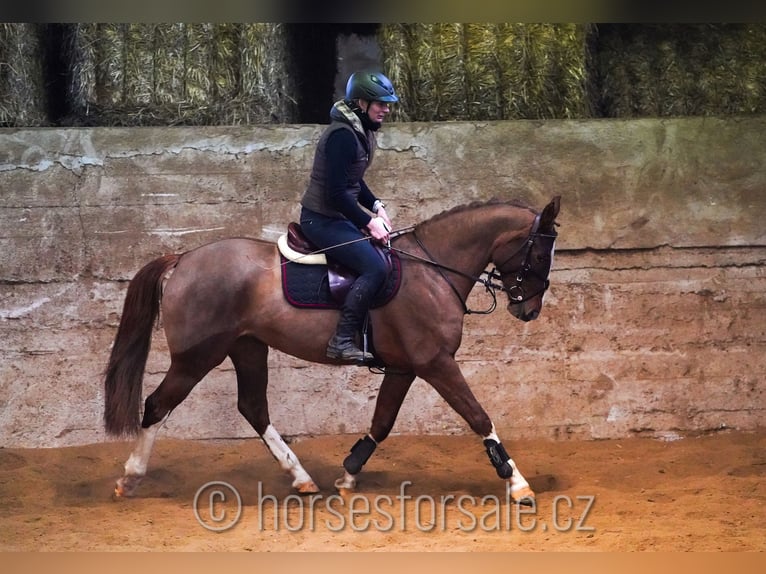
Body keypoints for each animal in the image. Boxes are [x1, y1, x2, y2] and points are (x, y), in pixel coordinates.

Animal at [103, 196, 560, 506]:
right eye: (539, 253)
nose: (529, 310)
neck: (432, 270)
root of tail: (182, 258)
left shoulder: (405, 368)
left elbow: (382, 422)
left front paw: (349, 474)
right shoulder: (435, 363)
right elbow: (478, 415)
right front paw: (517, 483)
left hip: (247, 347)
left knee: (253, 408)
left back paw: (302, 477)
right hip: (197, 357)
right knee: (158, 404)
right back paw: (130, 477)